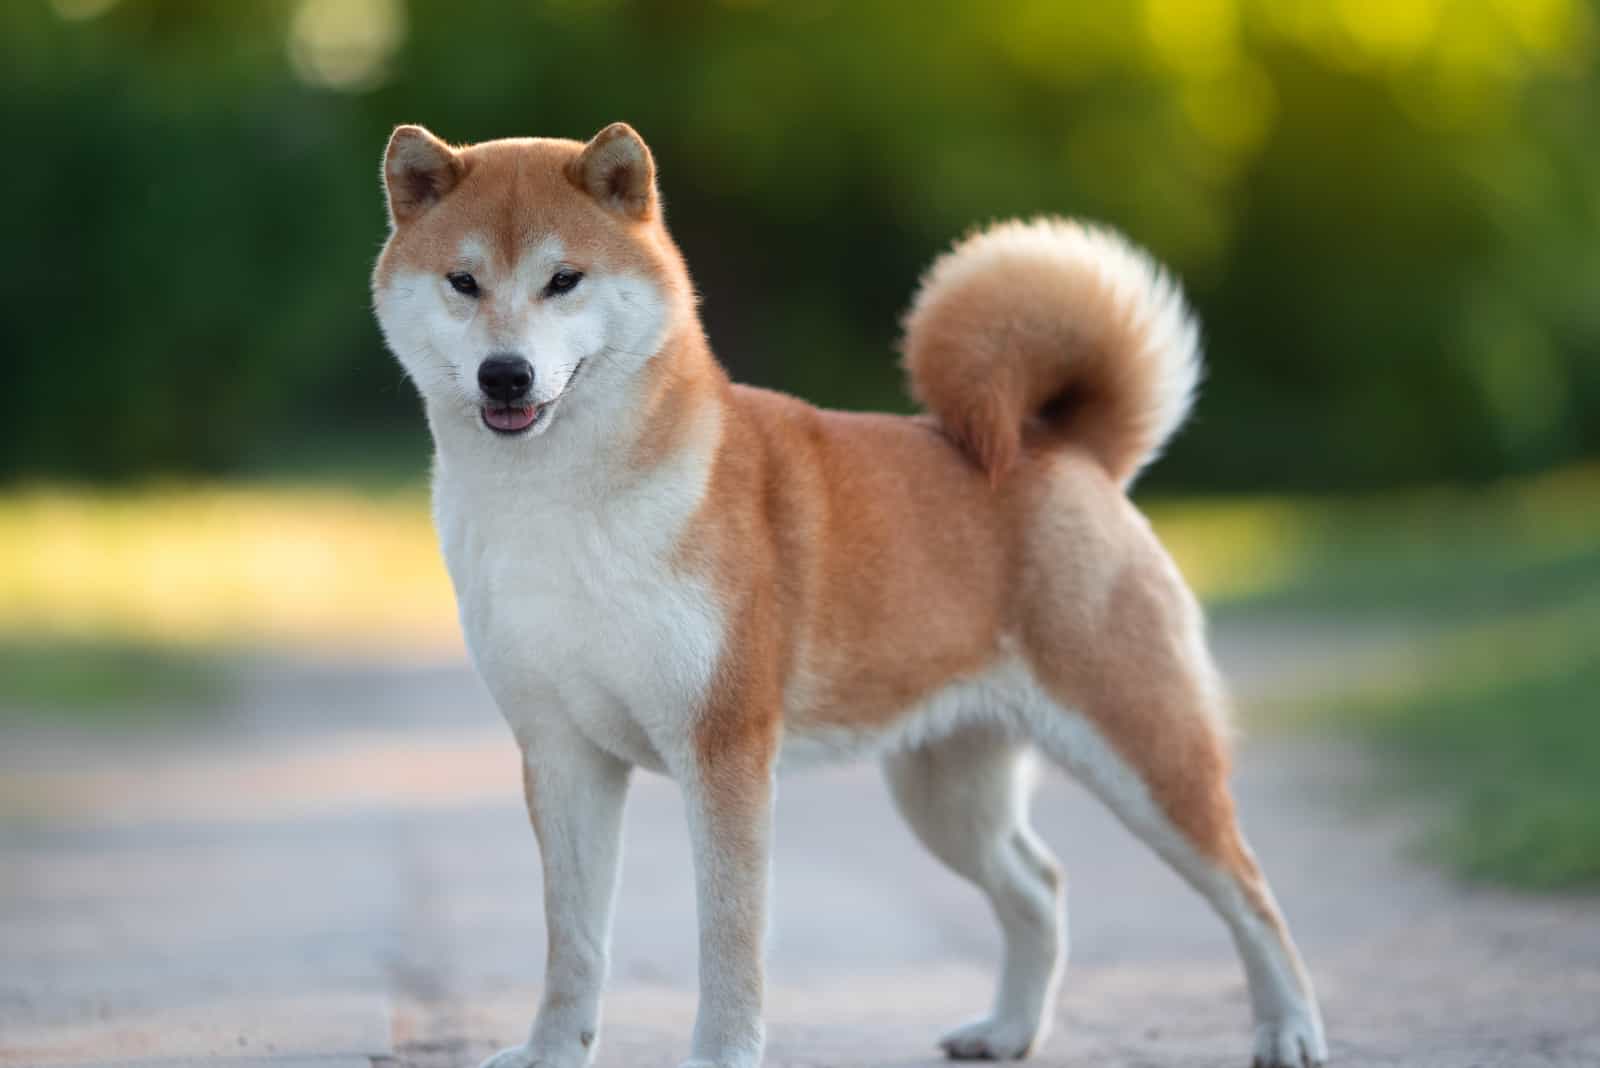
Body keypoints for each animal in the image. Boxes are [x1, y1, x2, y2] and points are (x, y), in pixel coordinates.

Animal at [371, 120, 1324, 1061]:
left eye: (563, 279)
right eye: (464, 282)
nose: (504, 373)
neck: (558, 509)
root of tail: (1066, 451)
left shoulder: (724, 751)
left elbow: (728, 941)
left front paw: (720, 1054)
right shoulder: (563, 754)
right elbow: (573, 941)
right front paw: (552, 1052)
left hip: (1145, 758)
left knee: (1251, 894)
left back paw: (1290, 1029)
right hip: (949, 795)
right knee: (1040, 887)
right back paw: (1007, 1031)